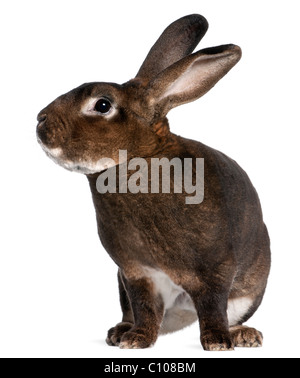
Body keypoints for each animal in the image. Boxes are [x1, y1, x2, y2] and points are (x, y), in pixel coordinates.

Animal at [36, 14, 270, 352]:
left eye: (102, 105)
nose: (40, 120)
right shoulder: (136, 274)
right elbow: (145, 307)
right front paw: (136, 340)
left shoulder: (215, 270)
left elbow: (213, 306)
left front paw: (217, 343)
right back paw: (120, 331)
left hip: (251, 287)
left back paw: (243, 335)